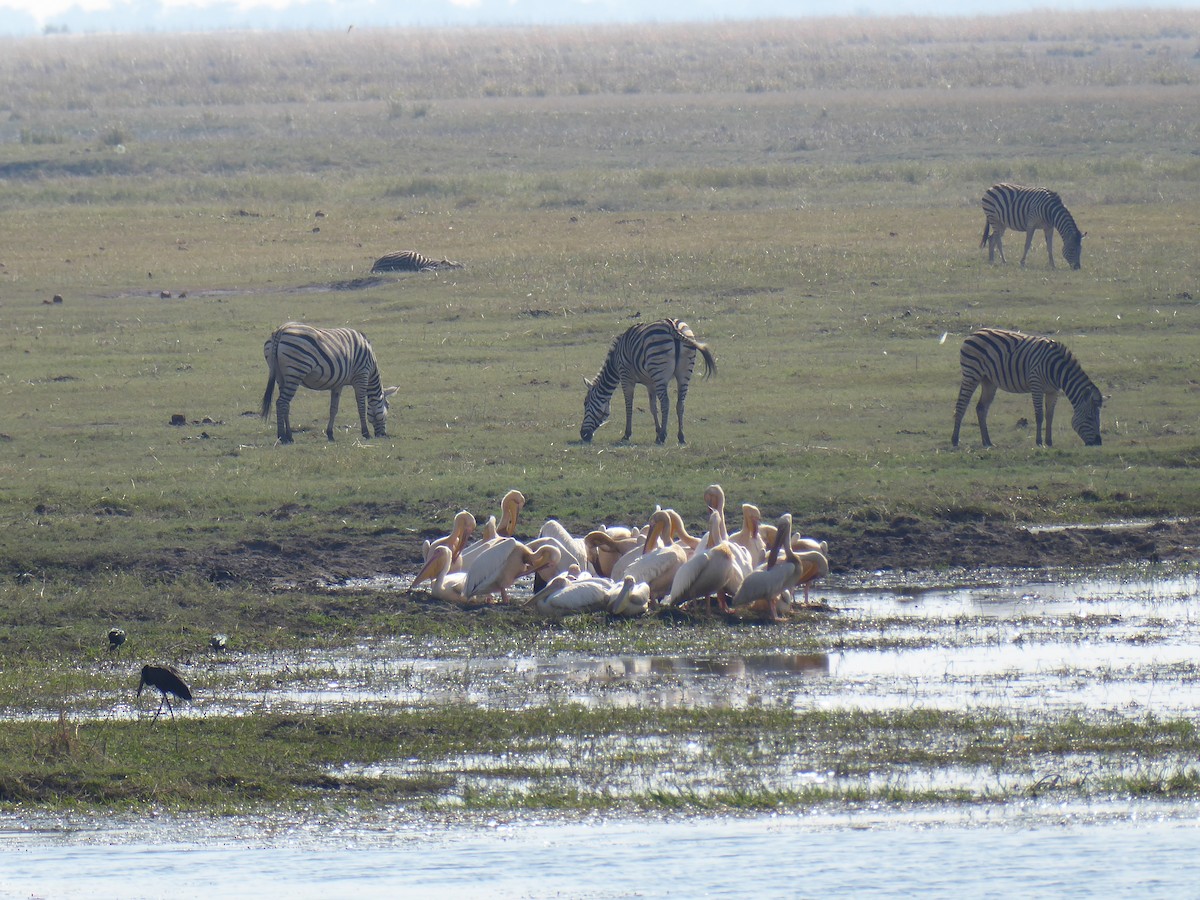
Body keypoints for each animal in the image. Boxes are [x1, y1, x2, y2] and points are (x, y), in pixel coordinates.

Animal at [262, 321, 398, 446]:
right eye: (388, 406)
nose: (383, 435)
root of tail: (281, 330)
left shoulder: (338, 384)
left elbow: (333, 409)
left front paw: (330, 434)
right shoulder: (361, 375)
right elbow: (361, 406)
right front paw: (366, 433)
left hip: (281, 376)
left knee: (286, 405)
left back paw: (290, 436)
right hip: (296, 371)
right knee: (281, 403)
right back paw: (282, 437)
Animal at [578, 319, 710, 448]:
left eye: (585, 403)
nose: (583, 435)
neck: (615, 362)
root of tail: (672, 326)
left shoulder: (626, 377)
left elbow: (629, 405)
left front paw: (627, 434)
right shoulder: (650, 383)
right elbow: (653, 407)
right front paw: (657, 433)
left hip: (659, 369)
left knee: (665, 403)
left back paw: (664, 436)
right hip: (684, 373)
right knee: (680, 404)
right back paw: (681, 436)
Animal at [950, 326, 1099, 448]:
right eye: (1090, 418)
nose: (1098, 443)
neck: (1057, 370)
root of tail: (974, 333)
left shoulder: (1053, 391)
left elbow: (1050, 415)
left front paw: (1049, 441)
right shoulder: (1036, 385)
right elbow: (1039, 415)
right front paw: (1039, 442)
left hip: (988, 381)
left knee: (981, 408)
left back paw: (987, 442)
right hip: (971, 374)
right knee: (962, 405)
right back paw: (955, 440)